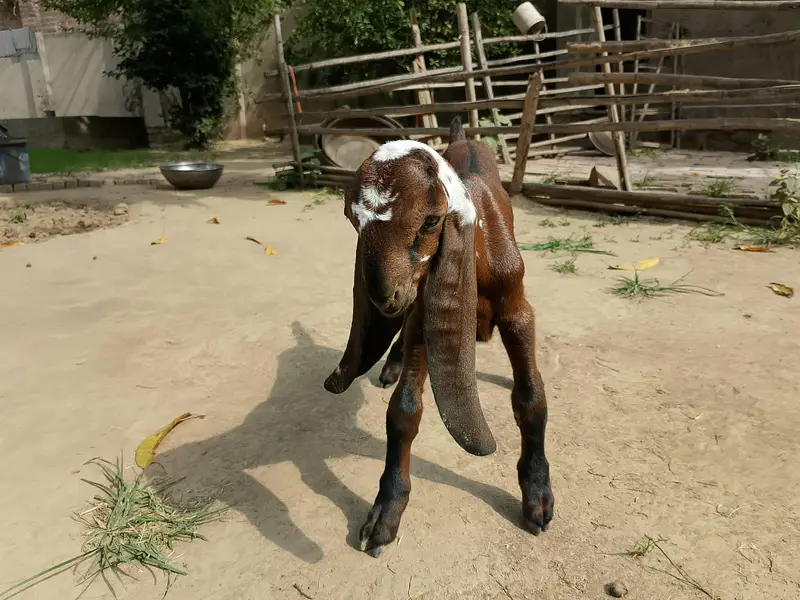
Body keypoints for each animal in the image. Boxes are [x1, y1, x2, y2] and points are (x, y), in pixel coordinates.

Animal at [324, 117, 553, 557]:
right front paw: (386, 511)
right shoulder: (423, 315)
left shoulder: (518, 311)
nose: (385, 298)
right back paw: (391, 366)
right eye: (352, 219)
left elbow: (530, 398)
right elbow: (403, 411)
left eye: (431, 220)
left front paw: (537, 495)